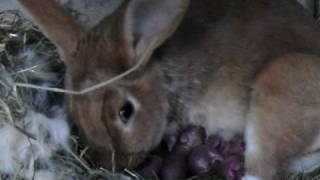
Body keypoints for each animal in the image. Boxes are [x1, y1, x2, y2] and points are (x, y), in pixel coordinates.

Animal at [15, 0, 320, 179]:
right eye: (75, 114)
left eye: (125, 111)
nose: (114, 164)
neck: (162, 77)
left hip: (279, 85)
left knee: (262, 168)